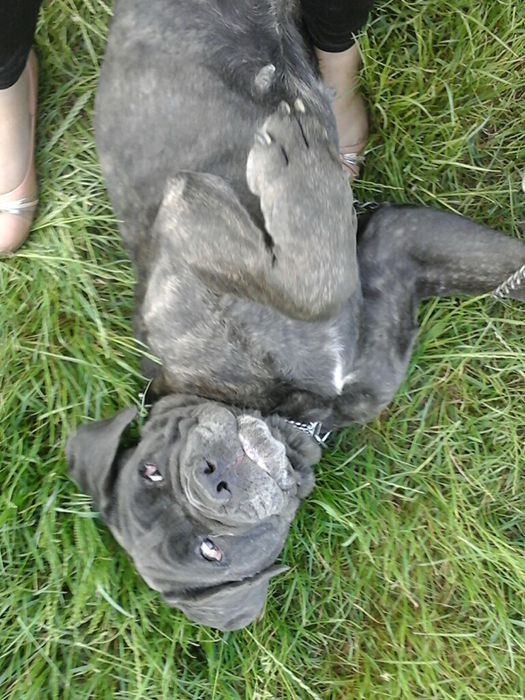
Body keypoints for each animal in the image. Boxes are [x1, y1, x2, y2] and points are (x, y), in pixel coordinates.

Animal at [66, 0, 525, 631]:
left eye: (154, 468)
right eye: (210, 551)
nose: (213, 482)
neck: (296, 412)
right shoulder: (386, 245)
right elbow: (316, 282)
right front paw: (295, 165)